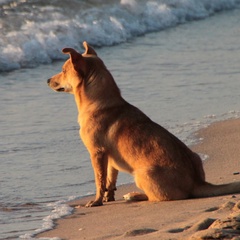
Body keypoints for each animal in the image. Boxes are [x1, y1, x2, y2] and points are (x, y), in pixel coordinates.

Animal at [47, 40, 240, 206]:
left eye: (63, 70)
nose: (47, 80)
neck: (100, 102)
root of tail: (197, 182)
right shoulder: (109, 158)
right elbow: (110, 178)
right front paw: (109, 197)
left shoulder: (97, 153)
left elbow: (99, 181)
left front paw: (97, 201)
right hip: (194, 157)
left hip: (141, 174)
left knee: (156, 197)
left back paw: (134, 195)